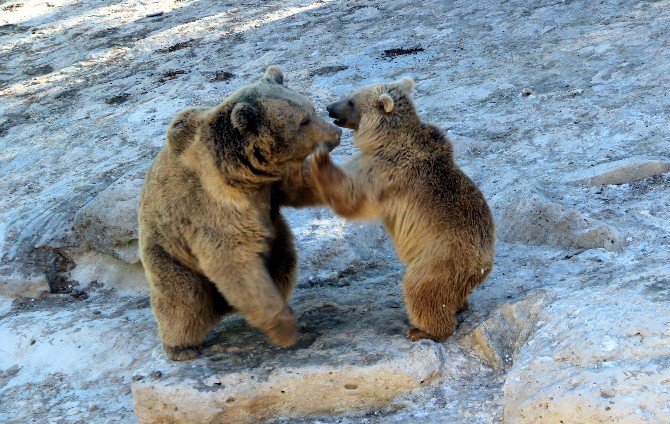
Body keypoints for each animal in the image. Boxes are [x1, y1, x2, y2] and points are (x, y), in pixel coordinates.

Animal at [140, 67, 342, 362]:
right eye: (302, 121)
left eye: (311, 109)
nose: (335, 132)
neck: (242, 175)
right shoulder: (213, 206)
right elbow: (233, 261)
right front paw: (285, 330)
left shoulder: (270, 184)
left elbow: (299, 185)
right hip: (167, 252)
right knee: (182, 296)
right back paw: (182, 347)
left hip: (275, 242)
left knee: (283, 263)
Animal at [310, 78, 494, 342]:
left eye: (351, 100)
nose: (329, 107)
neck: (386, 138)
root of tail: (483, 263)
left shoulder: (384, 172)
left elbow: (352, 198)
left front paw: (319, 159)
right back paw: (459, 306)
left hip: (438, 259)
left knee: (421, 291)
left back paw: (423, 330)